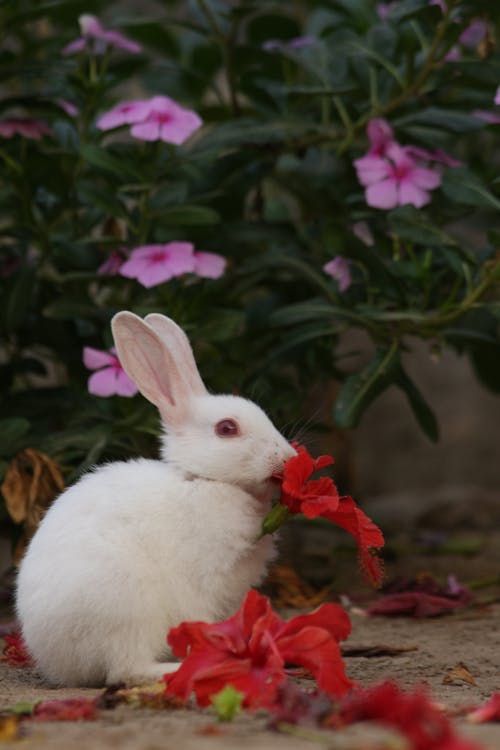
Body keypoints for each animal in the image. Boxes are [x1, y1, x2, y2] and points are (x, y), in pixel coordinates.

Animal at [15, 312, 294, 688]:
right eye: (226, 428)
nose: (287, 458)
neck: (203, 480)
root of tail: (59, 664)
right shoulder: (202, 586)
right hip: (127, 608)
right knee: (125, 670)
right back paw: (178, 669)